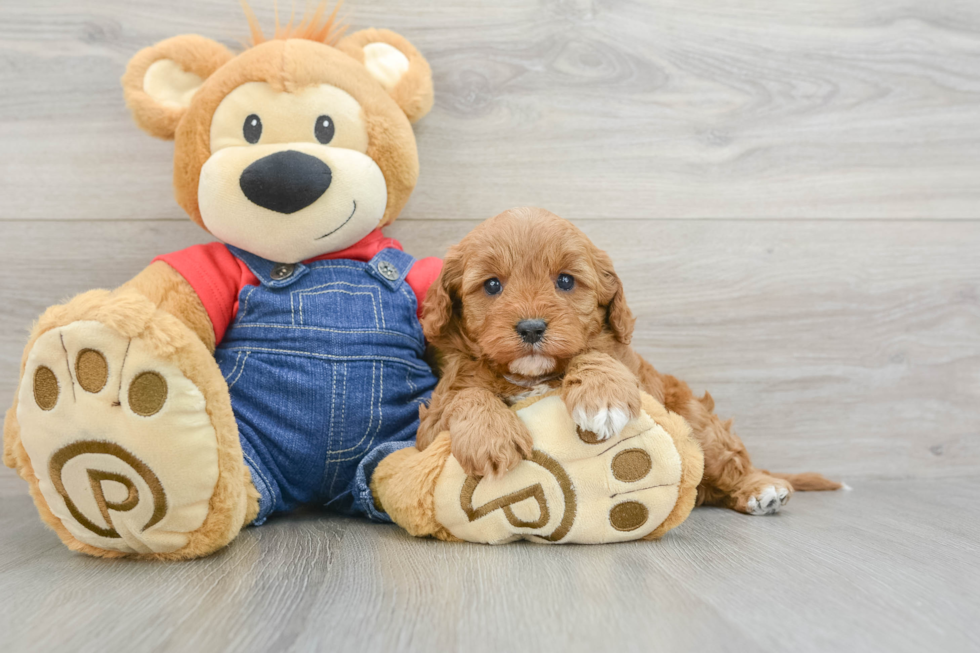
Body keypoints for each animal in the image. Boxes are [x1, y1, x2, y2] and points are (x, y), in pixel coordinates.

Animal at [418, 206, 840, 512]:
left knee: (731, 459)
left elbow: (594, 353)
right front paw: (491, 438)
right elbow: (464, 396)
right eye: (492, 285)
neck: (530, 376)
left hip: (696, 419)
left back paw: (760, 488)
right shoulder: (429, 429)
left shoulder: (635, 376)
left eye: (565, 281)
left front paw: (602, 398)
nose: (532, 328)